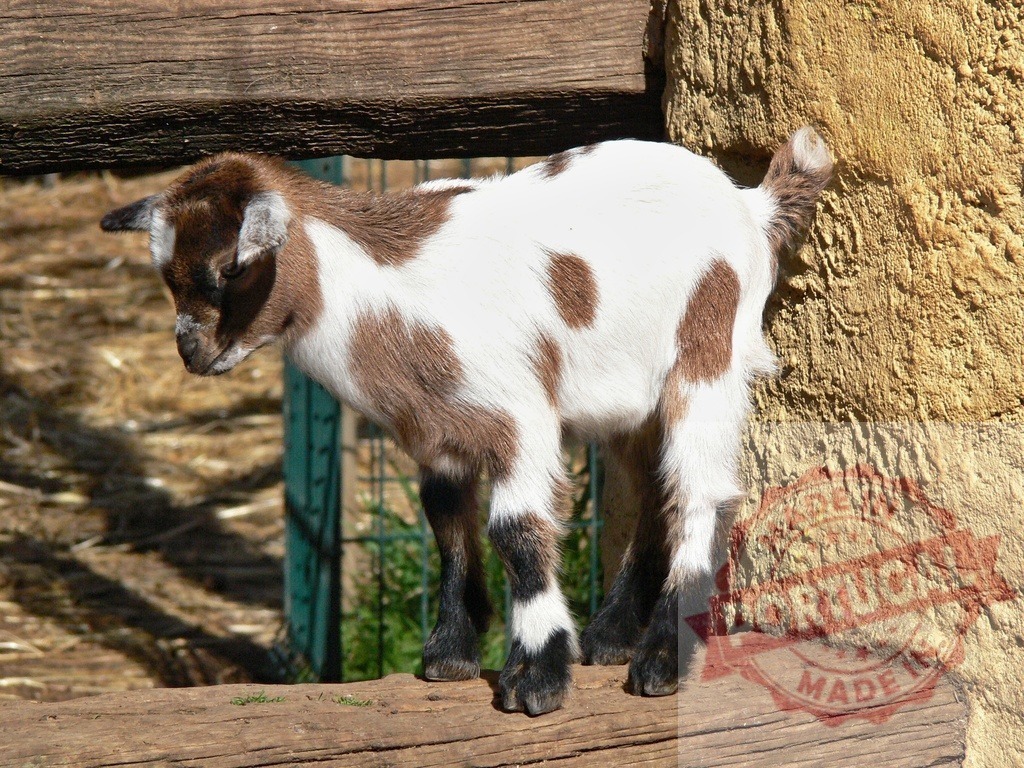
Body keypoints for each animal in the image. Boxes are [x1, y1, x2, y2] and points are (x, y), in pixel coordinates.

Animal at [102, 129, 832, 714]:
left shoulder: (520, 416)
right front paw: (450, 653)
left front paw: (534, 679)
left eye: (230, 268)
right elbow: (447, 522)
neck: (390, 291)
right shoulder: (437, 434)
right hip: (631, 400)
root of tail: (751, 206)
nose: (191, 352)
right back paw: (610, 638)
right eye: (166, 274)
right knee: (656, 488)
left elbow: (516, 532)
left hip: (706, 354)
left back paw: (658, 662)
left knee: (702, 494)